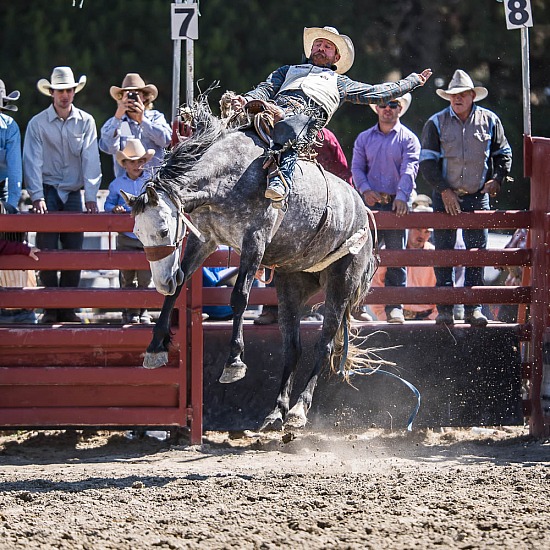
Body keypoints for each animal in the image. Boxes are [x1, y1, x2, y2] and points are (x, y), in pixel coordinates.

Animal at [123, 100, 380, 436]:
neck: (229, 177)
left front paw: (233, 362)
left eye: (165, 230)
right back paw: (275, 413)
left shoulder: (254, 240)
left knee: (324, 345)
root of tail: (364, 214)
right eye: (137, 233)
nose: (161, 281)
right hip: (291, 284)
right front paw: (156, 347)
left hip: (342, 282)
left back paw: (298, 411)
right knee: (292, 347)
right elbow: (179, 289)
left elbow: (239, 298)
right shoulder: (204, 240)